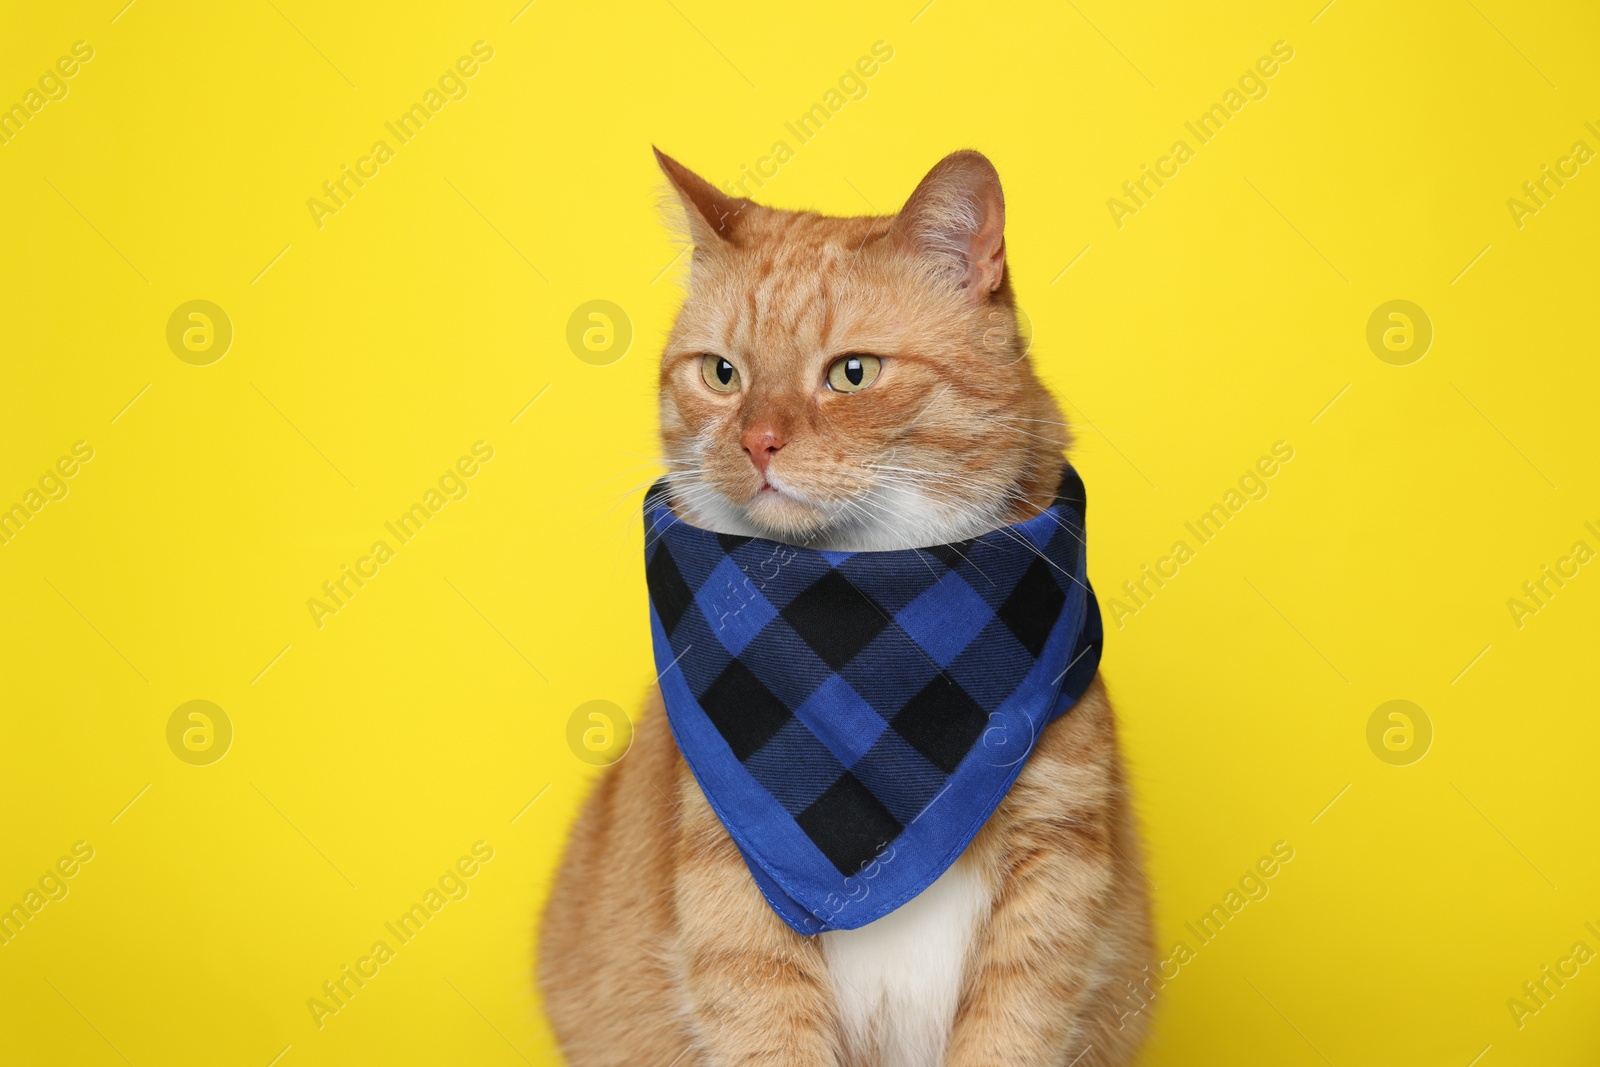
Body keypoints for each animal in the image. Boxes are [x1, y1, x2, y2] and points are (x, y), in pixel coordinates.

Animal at [537, 146, 1152, 1062]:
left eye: (852, 373)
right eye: (722, 373)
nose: (757, 440)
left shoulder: (1055, 873)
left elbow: (1011, 1030)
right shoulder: (734, 887)